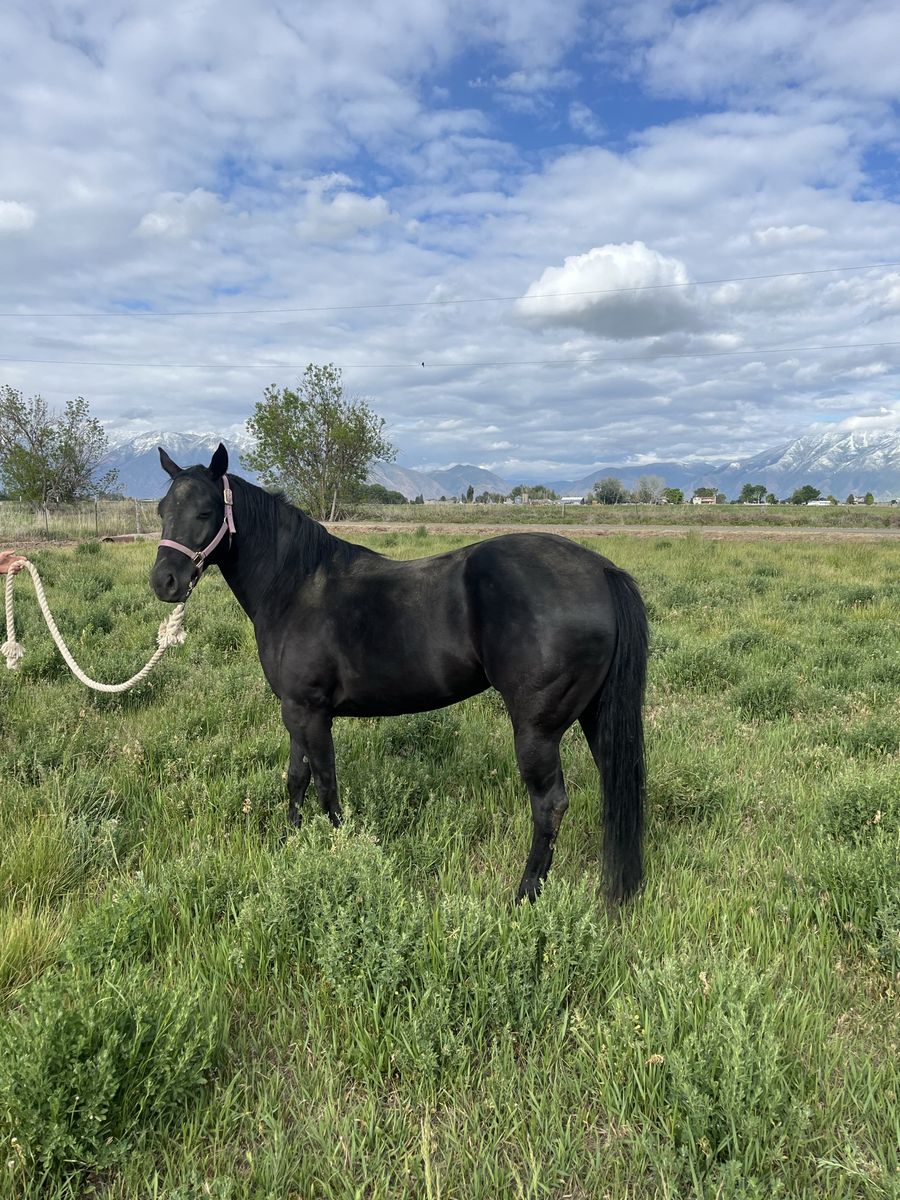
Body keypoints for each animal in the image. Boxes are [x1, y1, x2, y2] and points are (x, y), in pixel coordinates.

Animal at [150, 444, 648, 903]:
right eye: (161, 510)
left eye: (205, 511)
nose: (164, 581)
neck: (296, 586)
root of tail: (601, 570)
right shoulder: (295, 711)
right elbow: (297, 779)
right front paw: (290, 842)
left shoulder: (311, 712)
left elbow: (327, 785)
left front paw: (339, 851)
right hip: (594, 715)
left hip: (537, 730)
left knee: (549, 805)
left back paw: (525, 893)